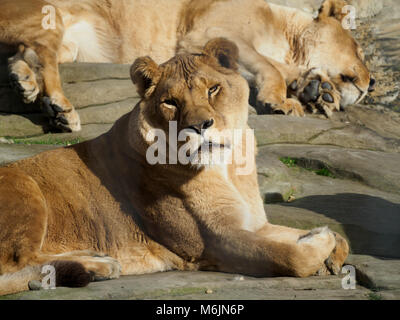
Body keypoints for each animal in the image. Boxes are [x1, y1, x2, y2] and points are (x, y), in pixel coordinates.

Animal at [0, 0, 376, 131]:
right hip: (48, 13)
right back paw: (59, 108)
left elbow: (279, 69)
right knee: (41, 54)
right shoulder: (211, 32)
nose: (371, 84)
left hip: (69, 41)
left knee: (26, 52)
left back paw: (25, 83)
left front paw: (318, 92)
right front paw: (281, 100)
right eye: (359, 51)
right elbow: (269, 66)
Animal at [0, 38, 348, 296]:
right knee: (18, 262)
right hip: (24, 186)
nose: (200, 126)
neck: (228, 167)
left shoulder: (254, 224)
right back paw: (96, 266)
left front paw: (326, 243)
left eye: (212, 89)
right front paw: (321, 244)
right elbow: (287, 256)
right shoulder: (213, 242)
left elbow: (311, 239)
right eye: (171, 102)